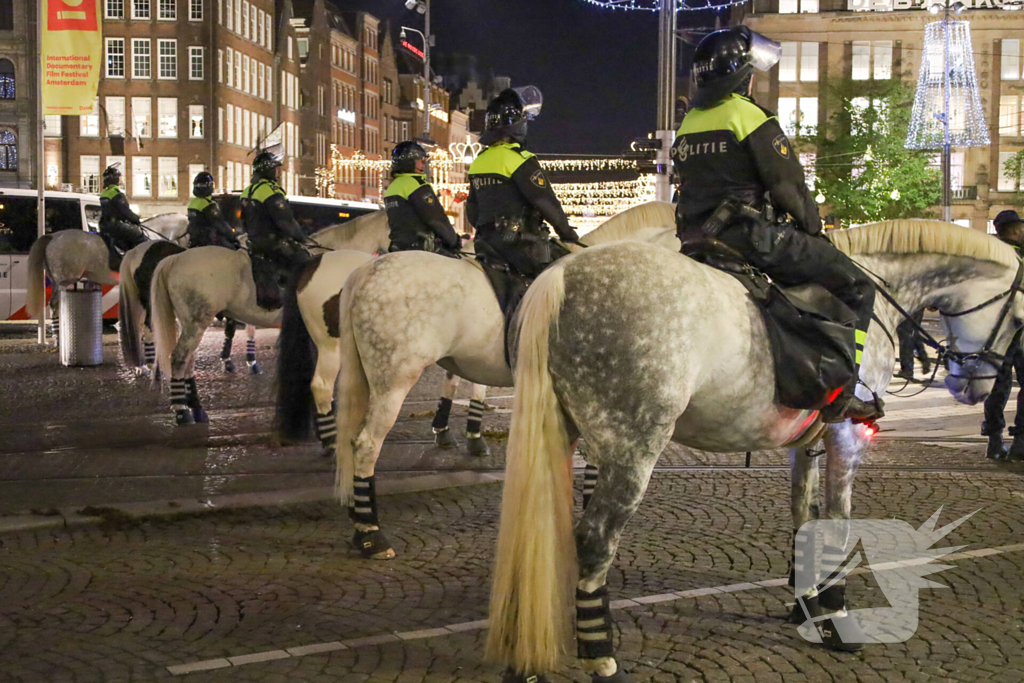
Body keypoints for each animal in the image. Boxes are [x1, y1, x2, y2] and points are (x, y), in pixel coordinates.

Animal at [149, 208, 389, 423]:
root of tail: (175, 259)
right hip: (196, 323)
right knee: (179, 358)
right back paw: (181, 411)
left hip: (192, 323)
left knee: (188, 361)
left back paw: (197, 408)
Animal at [485, 220, 1024, 683]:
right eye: (1019, 318)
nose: (976, 387)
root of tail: (561, 274)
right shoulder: (847, 436)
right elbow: (839, 523)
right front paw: (838, 613)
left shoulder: (805, 445)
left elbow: (805, 517)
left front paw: (809, 602)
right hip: (632, 447)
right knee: (595, 539)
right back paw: (601, 658)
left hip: (561, 433)